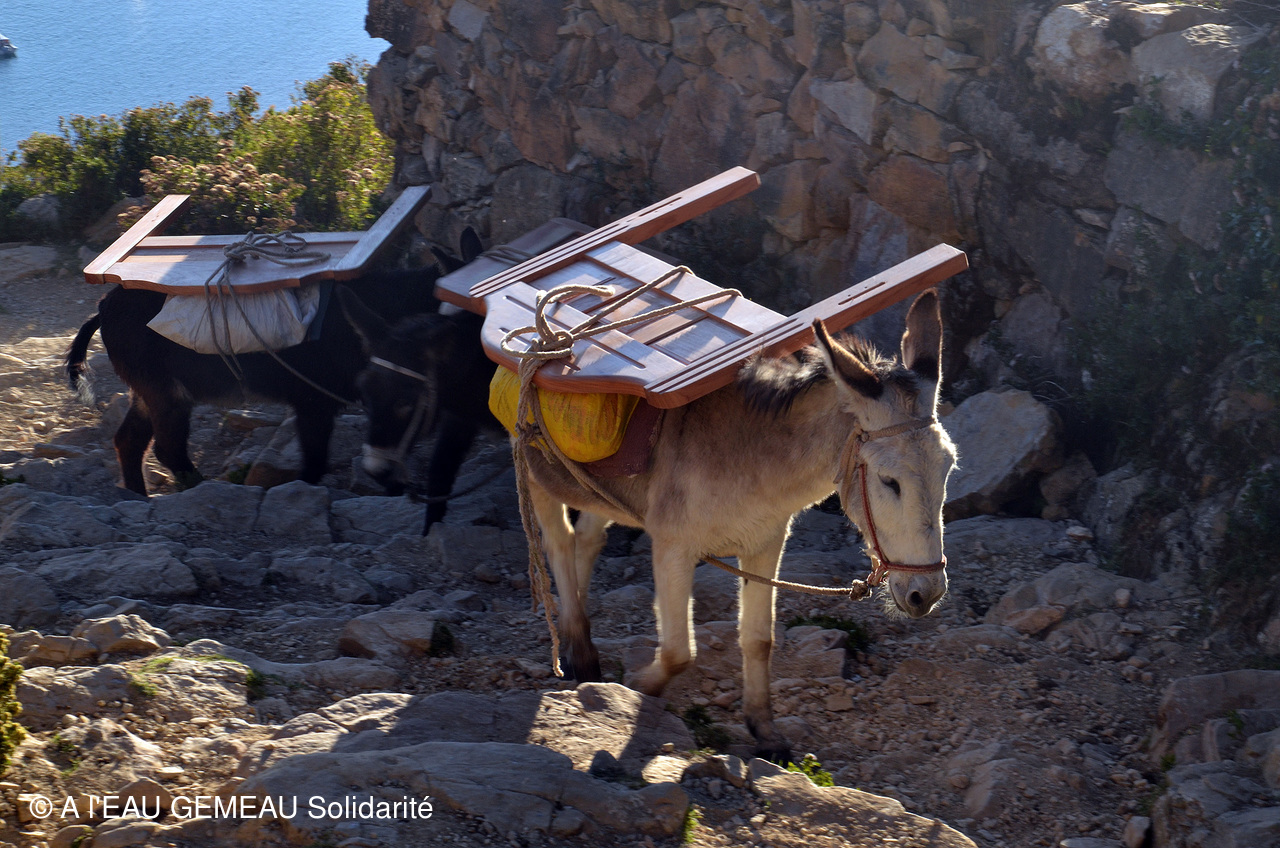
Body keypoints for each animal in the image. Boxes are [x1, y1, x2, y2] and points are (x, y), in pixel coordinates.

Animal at [65, 242, 476, 496]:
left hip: (147, 392)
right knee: (167, 449)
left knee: (129, 441)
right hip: (166, 393)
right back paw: (197, 487)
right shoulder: (313, 402)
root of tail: (104, 307)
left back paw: (138, 497)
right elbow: (316, 460)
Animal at [343, 288, 955, 760]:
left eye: (948, 467)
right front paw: (639, 689)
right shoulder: (672, 546)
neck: (752, 450)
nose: (926, 594)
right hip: (539, 477)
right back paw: (581, 653)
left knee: (586, 541)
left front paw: (765, 730)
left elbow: (759, 640)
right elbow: (680, 651)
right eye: (890, 482)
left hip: (599, 488)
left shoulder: (764, 545)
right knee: (559, 545)